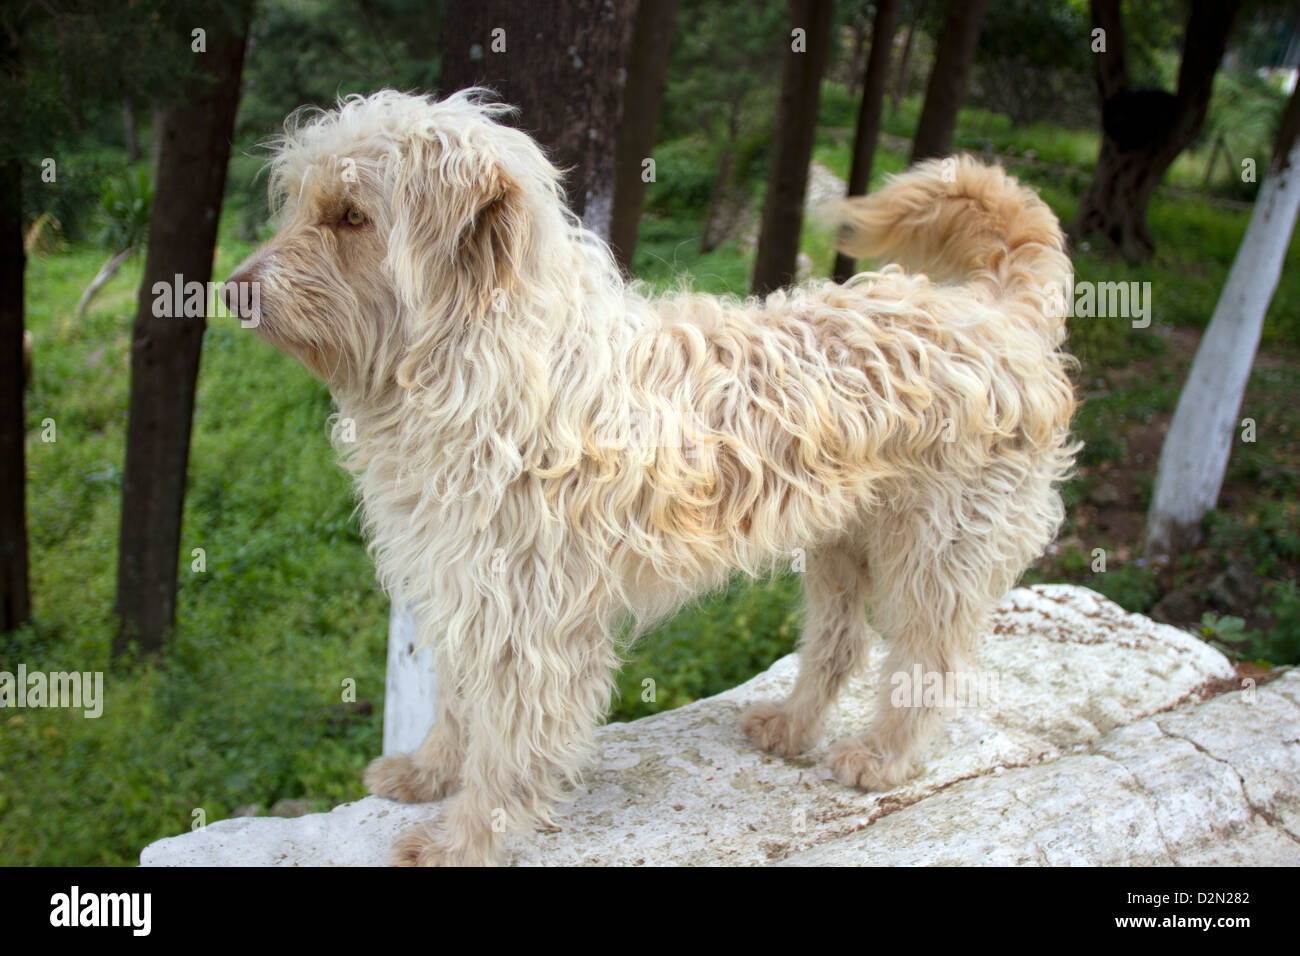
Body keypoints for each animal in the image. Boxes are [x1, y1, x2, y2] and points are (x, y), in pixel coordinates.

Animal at [223, 91, 1076, 868]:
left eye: (352, 217)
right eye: (302, 204)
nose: (232, 290)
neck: (481, 363)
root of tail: (996, 311)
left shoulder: (531, 622)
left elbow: (504, 748)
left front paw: (462, 841)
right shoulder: (469, 586)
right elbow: (460, 709)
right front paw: (429, 773)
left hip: (939, 552)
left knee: (930, 662)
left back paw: (883, 757)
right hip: (841, 545)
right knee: (839, 646)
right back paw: (792, 727)